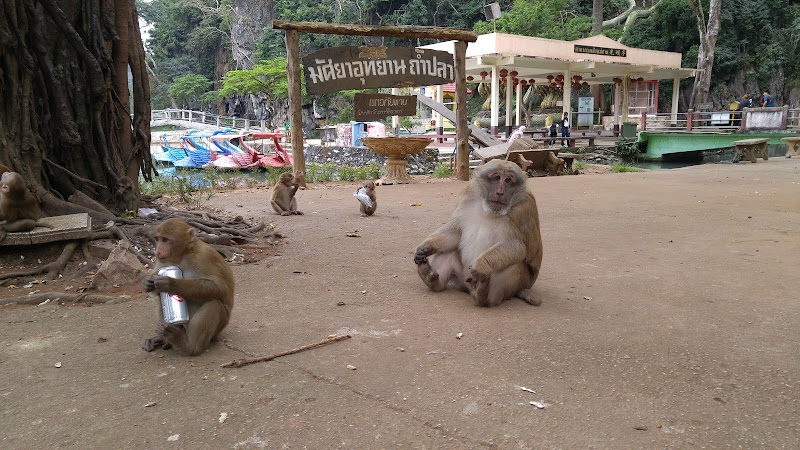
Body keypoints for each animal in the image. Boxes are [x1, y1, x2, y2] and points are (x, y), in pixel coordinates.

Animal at [142, 218, 234, 356]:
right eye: (157, 239)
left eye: (165, 240)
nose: (157, 251)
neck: (182, 255)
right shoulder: (162, 261)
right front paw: (148, 282)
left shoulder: (204, 256)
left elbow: (219, 288)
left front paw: (171, 283)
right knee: (160, 301)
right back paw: (165, 340)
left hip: (219, 327)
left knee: (214, 305)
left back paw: (187, 345)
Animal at [412, 160, 544, 308]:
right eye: (497, 177)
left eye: (508, 180)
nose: (500, 192)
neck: (490, 210)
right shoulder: (468, 194)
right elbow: (456, 232)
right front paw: (425, 247)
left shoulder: (523, 209)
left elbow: (517, 246)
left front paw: (481, 265)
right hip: (462, 278)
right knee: (449, 251)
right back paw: (430, 279)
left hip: (521, 282)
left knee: (515, 264)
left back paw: (483, 295)